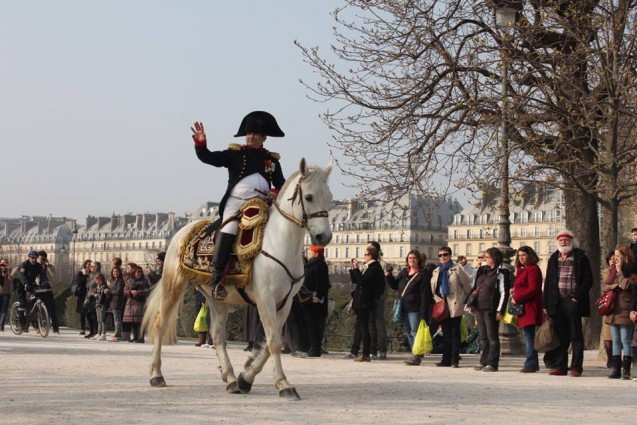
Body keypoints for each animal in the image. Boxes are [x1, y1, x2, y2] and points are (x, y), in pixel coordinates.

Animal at [142, 158, 332, 398]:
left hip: (216, 299)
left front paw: (246, 377)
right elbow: (273, 342)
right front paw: (283, 384)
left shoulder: (285, 302)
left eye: (330, 198)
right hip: (174, 286)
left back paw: (231, 378)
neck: (279, 244)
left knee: (217, 335)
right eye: (308, 197)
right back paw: (156, 374)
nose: (324, 237)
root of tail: (184, 228)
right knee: (160, 323)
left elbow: (270, 342)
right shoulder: (265, 299)